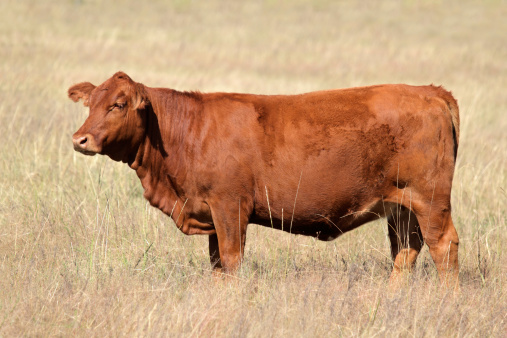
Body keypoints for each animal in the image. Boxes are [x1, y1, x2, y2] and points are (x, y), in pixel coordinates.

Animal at [69, 71, 462, 286]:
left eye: (118, 104)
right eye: (90, 104)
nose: (80, 139)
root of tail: (429, 91)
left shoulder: (229, 207)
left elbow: (231, 261)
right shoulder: (211, 215)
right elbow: (217, 265)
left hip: (430, 200)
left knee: (443, 246)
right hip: (402, 207)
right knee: (406, 251)